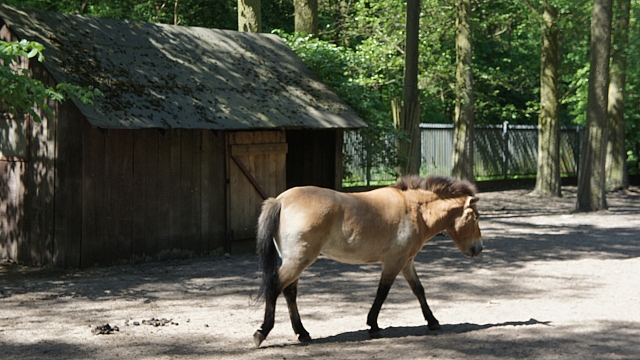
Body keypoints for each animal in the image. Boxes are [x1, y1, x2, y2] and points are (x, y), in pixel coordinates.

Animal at [252, 176, 482, 348]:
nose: (478, 248)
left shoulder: (406, 262)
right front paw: (373, 325)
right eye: (476, 217)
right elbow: (382, 293)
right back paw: (262, 332)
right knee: (274, 286)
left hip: (295, 262)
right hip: (298, 261)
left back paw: (303, 333)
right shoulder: (393, 263)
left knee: (289, 293)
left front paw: (433, 322)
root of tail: (280, 201)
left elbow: (419, 290)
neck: (414, 208)